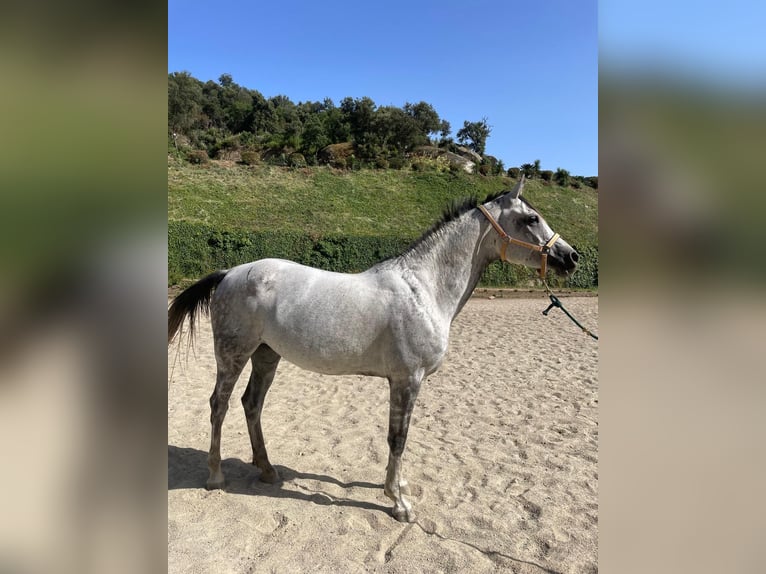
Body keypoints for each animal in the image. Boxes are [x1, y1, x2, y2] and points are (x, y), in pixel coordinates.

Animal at [167, 176, 578, 522]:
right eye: (531, 218)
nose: (571, 257)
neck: (423, 288)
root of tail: (229, 274)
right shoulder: (407, 380)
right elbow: (398, 438)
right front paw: (399, 504)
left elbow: (399, 439)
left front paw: (396, 486)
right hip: (233, 355)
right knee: (218, 406)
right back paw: (216, 476)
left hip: (267, 355)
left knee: (251, 404)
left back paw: (268, 470)